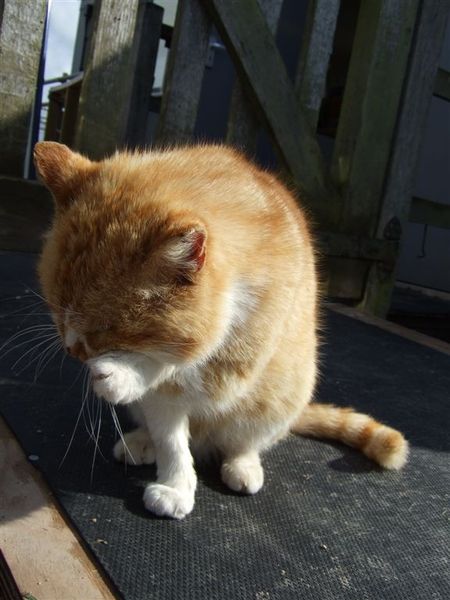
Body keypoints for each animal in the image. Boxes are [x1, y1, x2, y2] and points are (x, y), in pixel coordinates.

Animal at [34, 143, 408, 516]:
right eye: (55, 308)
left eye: (107, 329)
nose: (72, 350)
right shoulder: (165, 400)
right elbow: (171, 441)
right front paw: (177, 487)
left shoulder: (234, 365)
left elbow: (176, 365)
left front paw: (121, 375)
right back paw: (142, 442)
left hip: (278, 401)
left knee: (244, 443)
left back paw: (243, 466)